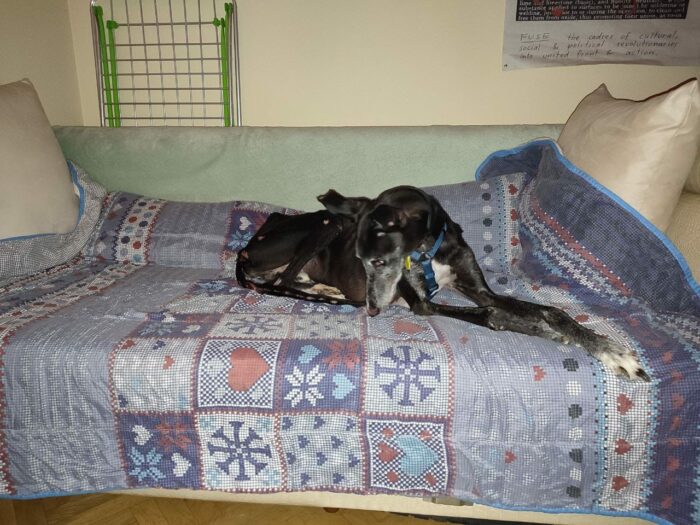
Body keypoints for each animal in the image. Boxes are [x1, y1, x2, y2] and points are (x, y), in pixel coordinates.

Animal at [237, 185, 650, 382]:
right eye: (361, 261)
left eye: (378, 261)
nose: (372, 309)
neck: (427, 252)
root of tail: (248, 245)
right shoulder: (423, 303)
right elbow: (492, 315)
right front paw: (545, 333)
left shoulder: (477, 288)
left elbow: (547, 309)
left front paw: (610, 350)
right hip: (327, 222)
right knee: (283, 278)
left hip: (326, 225)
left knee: (285, 278)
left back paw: (326, 290)